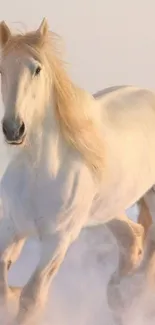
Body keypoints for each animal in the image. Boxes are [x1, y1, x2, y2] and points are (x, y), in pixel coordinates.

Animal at [0, 18, 155, 324]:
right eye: (0, 69)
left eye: (37, 69)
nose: (13, 129)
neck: (39, 172)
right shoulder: (12, 227)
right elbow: (3, 285)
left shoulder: (58, 240)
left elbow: (32, 297)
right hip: (109, 207)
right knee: (133, 237)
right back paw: (118, 294)